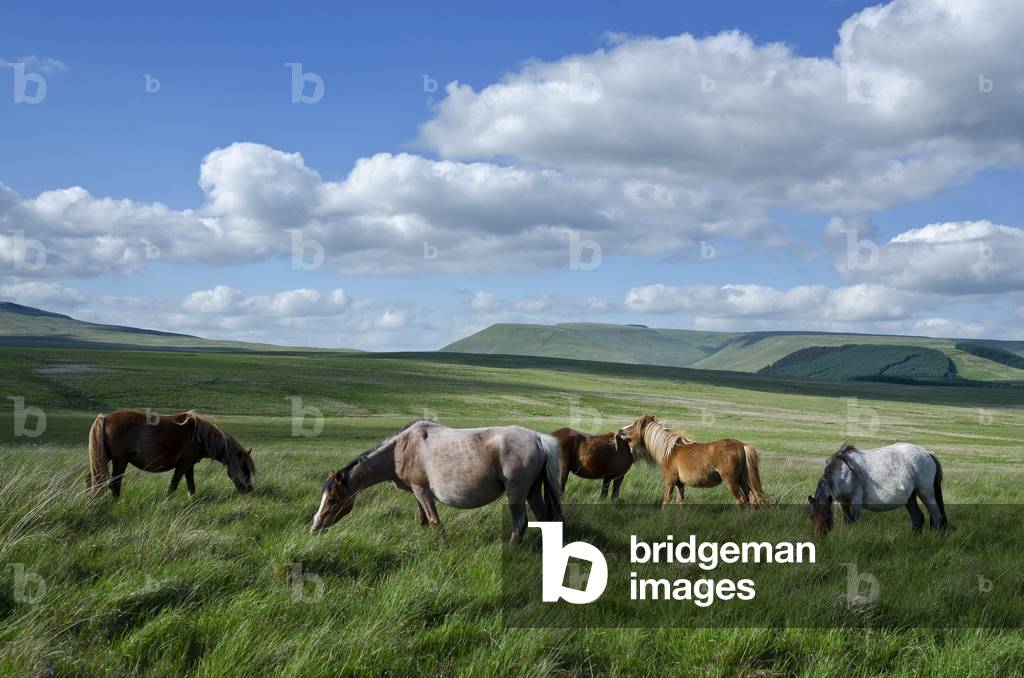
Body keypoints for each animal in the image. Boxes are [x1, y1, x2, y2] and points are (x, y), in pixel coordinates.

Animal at [86, 409, 255, 498]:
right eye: (245, 470)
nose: (250, 491)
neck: (199, 436)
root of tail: (104, 417)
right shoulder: (183, 464)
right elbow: (174, 485)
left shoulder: (189, 465)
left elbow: (191, 486)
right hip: (120, 461)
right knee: (114, 484)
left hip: (102, 458)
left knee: (91, 480)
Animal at [310, 419, 562, 542]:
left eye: (332, 499)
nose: (315, 526)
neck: (399, 450)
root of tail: (538, 439)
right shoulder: (416, 492)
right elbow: (422, 519)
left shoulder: (422, 490)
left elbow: (434, 521)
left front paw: (442, 546)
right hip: (533, 491)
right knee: (544, 519)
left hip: (516, 492)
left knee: (519, 524)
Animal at [616, 414, 768, 507]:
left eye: (635, 423)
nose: (620, 430)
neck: (669, 450)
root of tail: (742, 446)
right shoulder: (680, 483)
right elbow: (680, 501)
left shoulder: (670, 480)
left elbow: (666, 500)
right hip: (743, 480)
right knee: (751, 499)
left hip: (731, 481)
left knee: (741, 499)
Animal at [808, 442, 948, 535]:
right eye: (811, 516)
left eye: (827, 518)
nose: (819, 537)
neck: (844, 471)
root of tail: (928, 454)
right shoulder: (843, 502)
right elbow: (847, 520)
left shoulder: (855, 500)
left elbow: (853, 521)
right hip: (910, 497)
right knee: (917, 518)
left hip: (926, 493)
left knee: (936, 516)